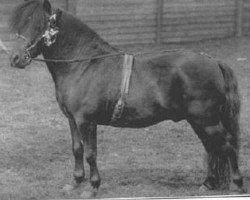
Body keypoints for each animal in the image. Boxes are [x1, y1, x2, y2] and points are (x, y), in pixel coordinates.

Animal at [9, 0, 244, 197]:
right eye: (21, 25)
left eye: (39, 25)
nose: (15, 58)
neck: (84, 64)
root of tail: (213, 61)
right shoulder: (72, 120)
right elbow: (77, 149)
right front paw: (75, 183)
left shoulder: (87, 121)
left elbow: (91, 153)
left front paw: (93, 187)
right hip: (199, 121)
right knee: (212, 147)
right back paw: (208, 184)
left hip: (207, 120)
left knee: (227, 145)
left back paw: (237, 184)